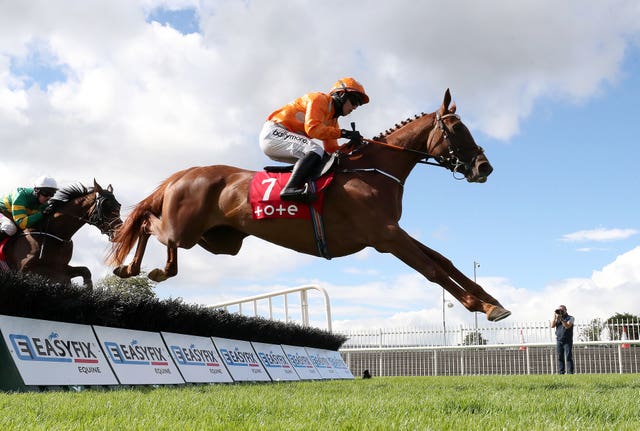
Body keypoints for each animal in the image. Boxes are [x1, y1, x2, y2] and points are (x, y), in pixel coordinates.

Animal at [109, 89, 510, 322]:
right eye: (456, 129)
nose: (484, 167)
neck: (374, 168)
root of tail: (183, 173)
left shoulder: (393, 231)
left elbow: (444, 260)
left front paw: (491, 299)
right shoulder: (385, 236)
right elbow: (431, 269)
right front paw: (483, 306)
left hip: (219, 241)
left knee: (166, 242)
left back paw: (153, 270)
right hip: (186, 228)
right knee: (146, 224)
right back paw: (133, 267)